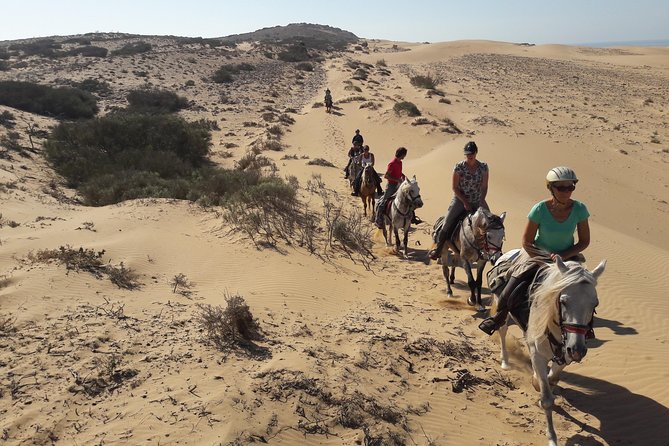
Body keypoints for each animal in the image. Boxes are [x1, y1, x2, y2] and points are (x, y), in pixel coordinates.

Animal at [494, 254, 608, 446]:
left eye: (595, 304)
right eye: (563, 301)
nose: (577, 350)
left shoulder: (564, 355)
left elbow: (552, 377)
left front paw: (538, 380)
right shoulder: (538, 355)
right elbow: (547, 399)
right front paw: (552, 438)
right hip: (501, 309)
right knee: (502, 330)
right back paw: (505, 361)